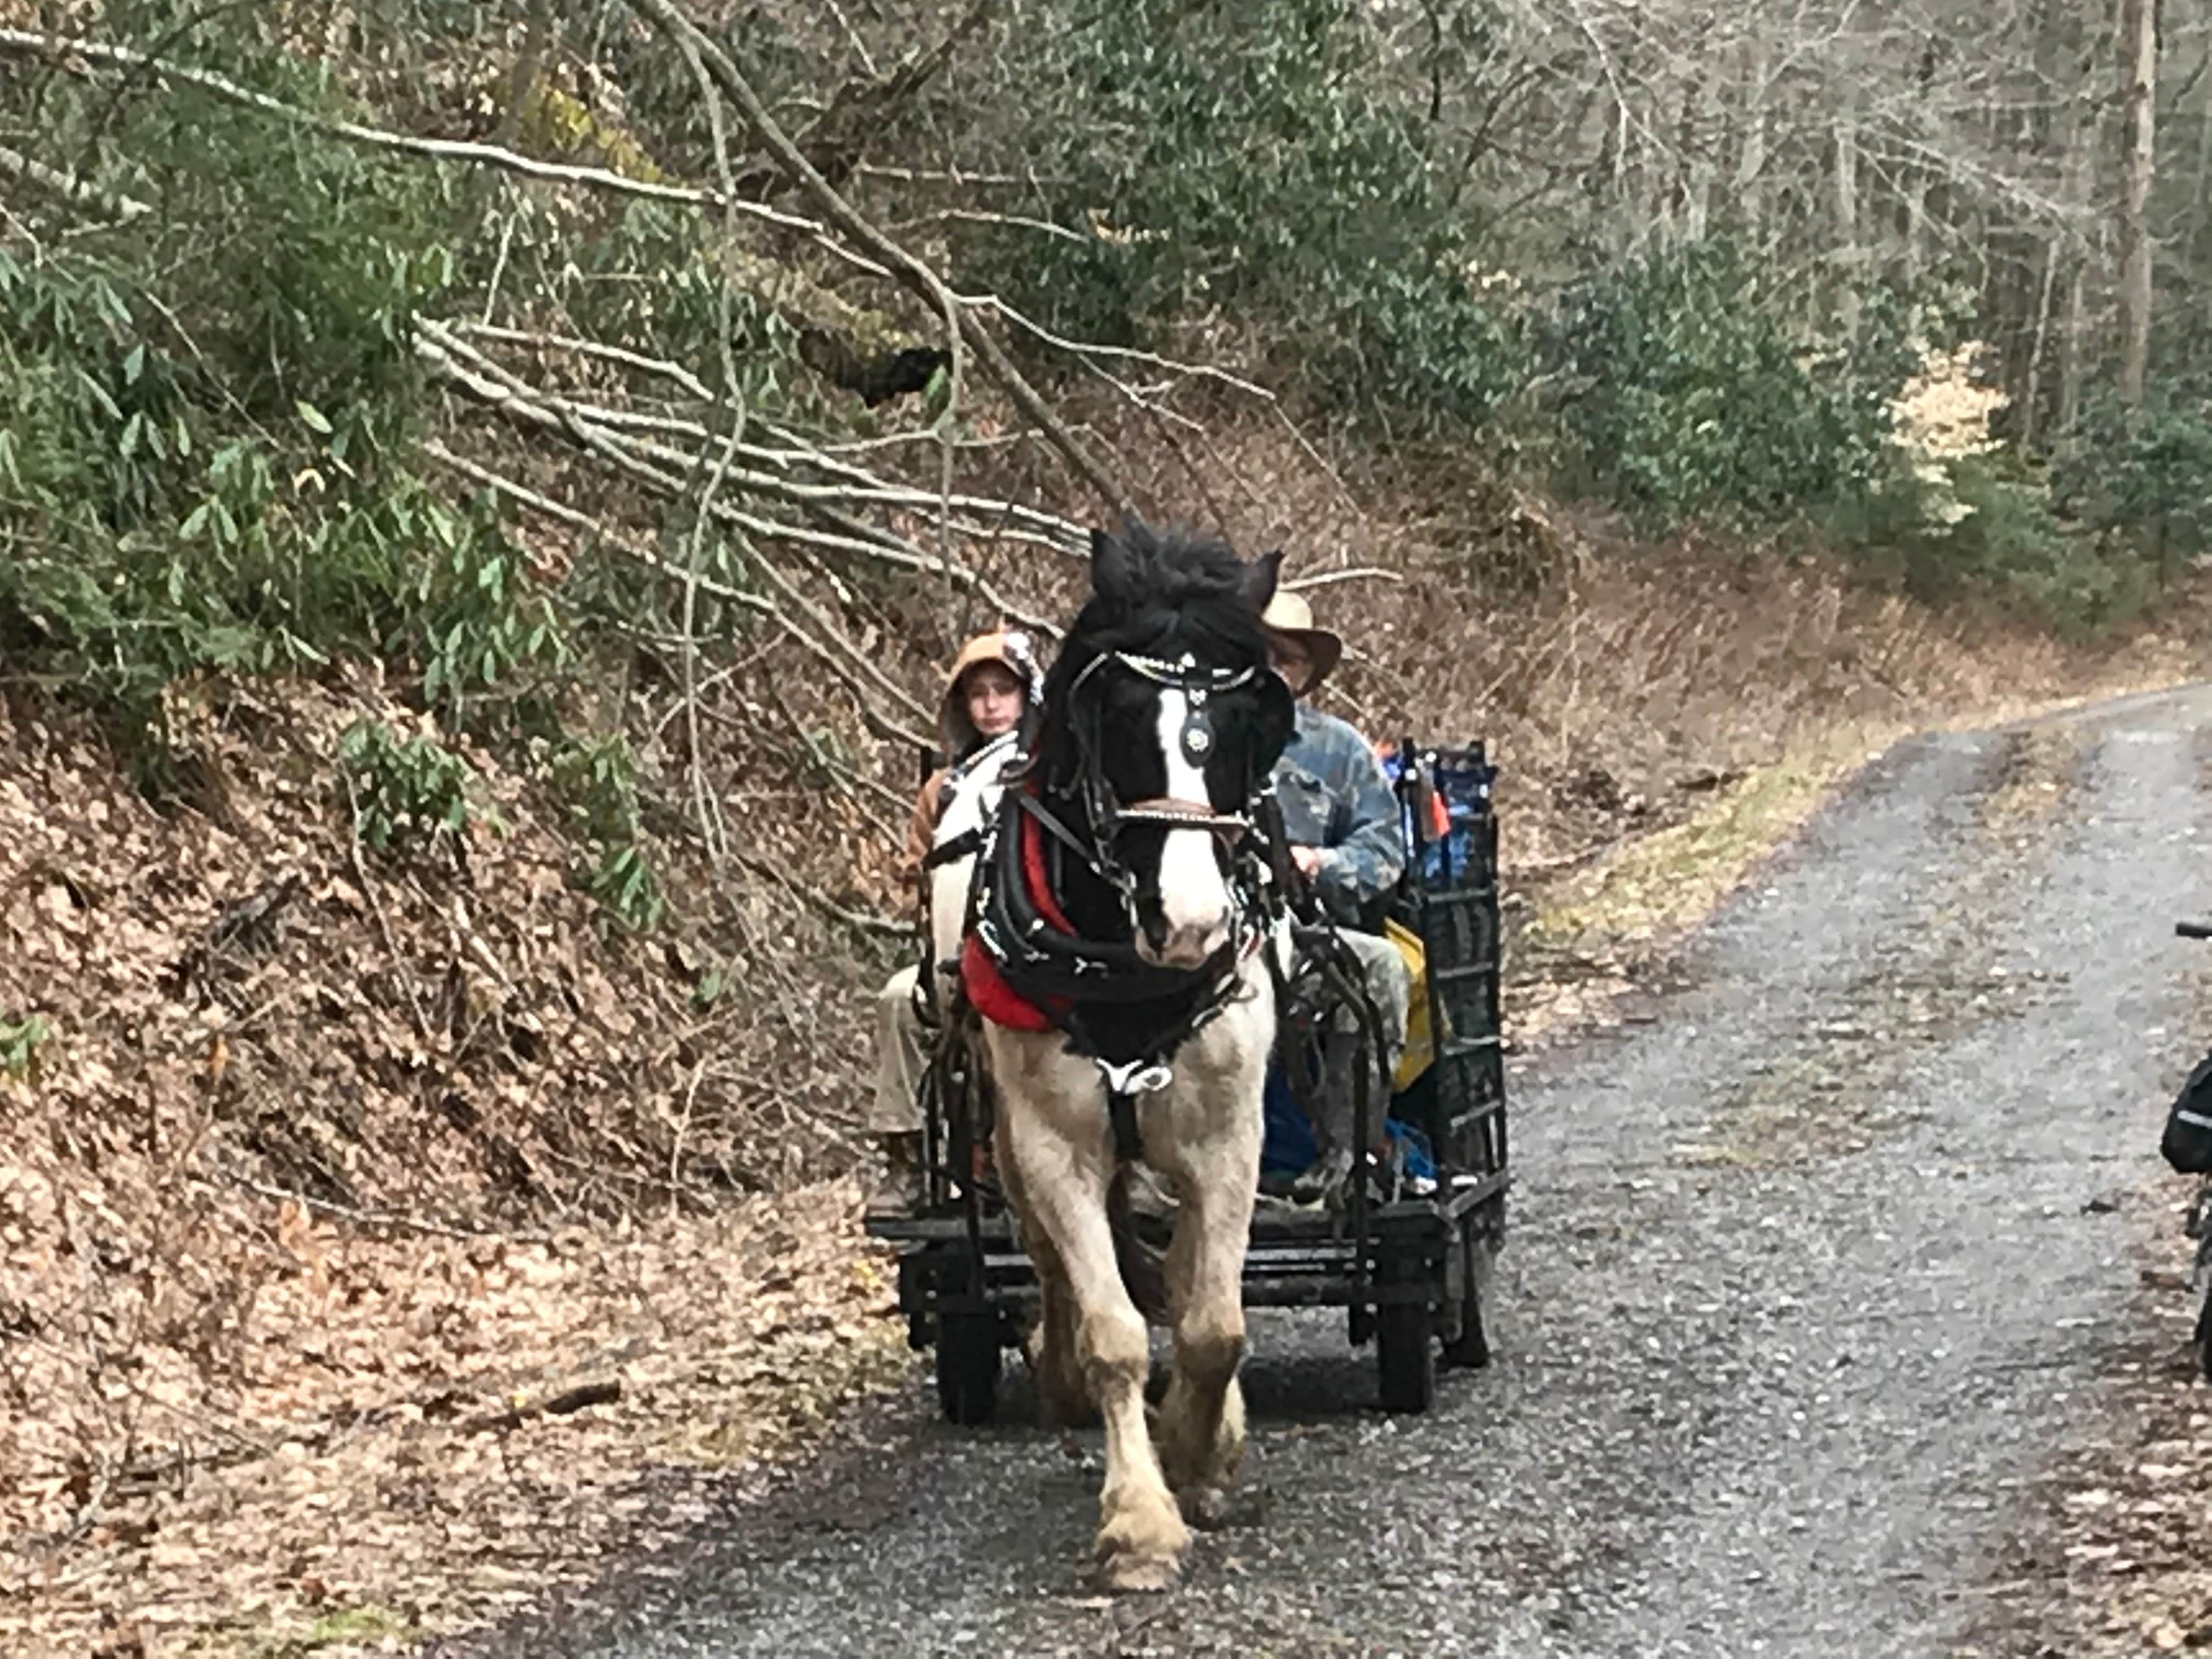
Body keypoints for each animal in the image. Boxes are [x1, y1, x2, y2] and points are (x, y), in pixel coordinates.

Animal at [933, 520, 1295, 1592]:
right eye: (1122, 714)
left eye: (1247, 719)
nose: (1192, 921)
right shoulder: (1054, 1142)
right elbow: (1115, 1331)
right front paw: (1139, 1519)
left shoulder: (1227, 1134)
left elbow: (1213, 1323)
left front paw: (1199, 1452)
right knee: (1056, 1263)